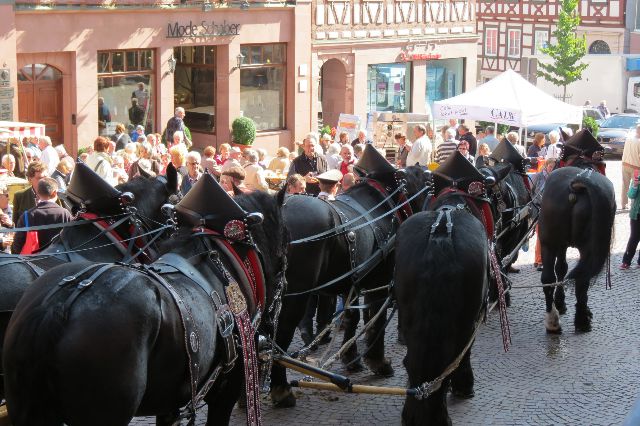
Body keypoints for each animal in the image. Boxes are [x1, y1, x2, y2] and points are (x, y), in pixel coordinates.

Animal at [270, 147, 430, 410]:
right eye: (428, 181)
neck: (383, 205)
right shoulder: (379, 283)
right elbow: (375, 320)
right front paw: (378, 362)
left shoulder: (352, 281)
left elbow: (351, 317)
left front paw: (351, 357)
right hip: (295, 296)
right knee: (280, 334)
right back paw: (280, 389)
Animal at [540, 130, 616, 332]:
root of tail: (576, 185)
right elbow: (564, 269)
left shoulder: (561, 244)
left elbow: (561, 268)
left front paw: (560, 303)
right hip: (582, 247)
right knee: (581, 278)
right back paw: (581, 318)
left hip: (549, 242)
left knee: (549, 278)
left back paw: (553, 320)